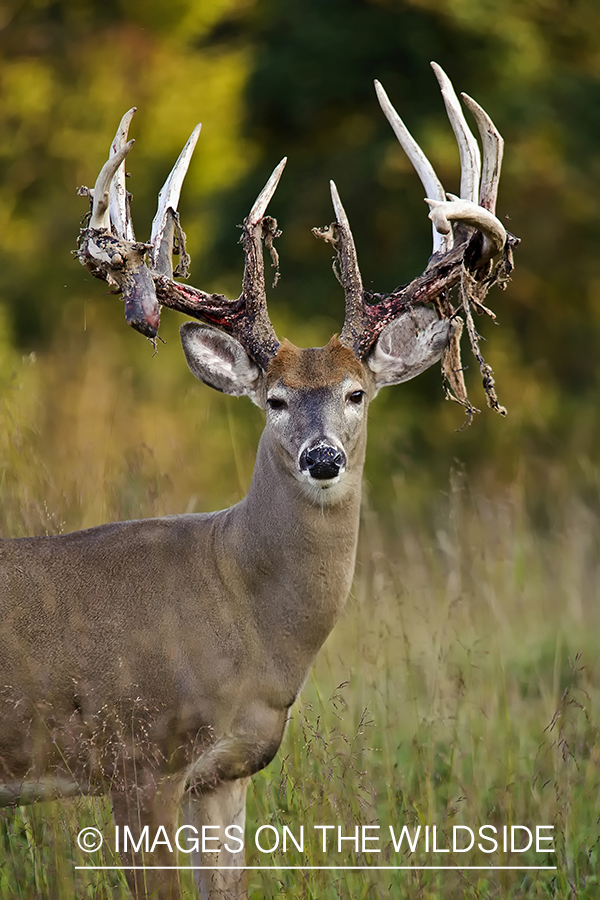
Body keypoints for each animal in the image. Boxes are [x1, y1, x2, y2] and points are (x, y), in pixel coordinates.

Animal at [0, 65, 516, 900]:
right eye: (274, 400)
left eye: (357, 393)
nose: (322, 458)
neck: (241, 610)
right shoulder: (135, 755)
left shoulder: (228, 772)